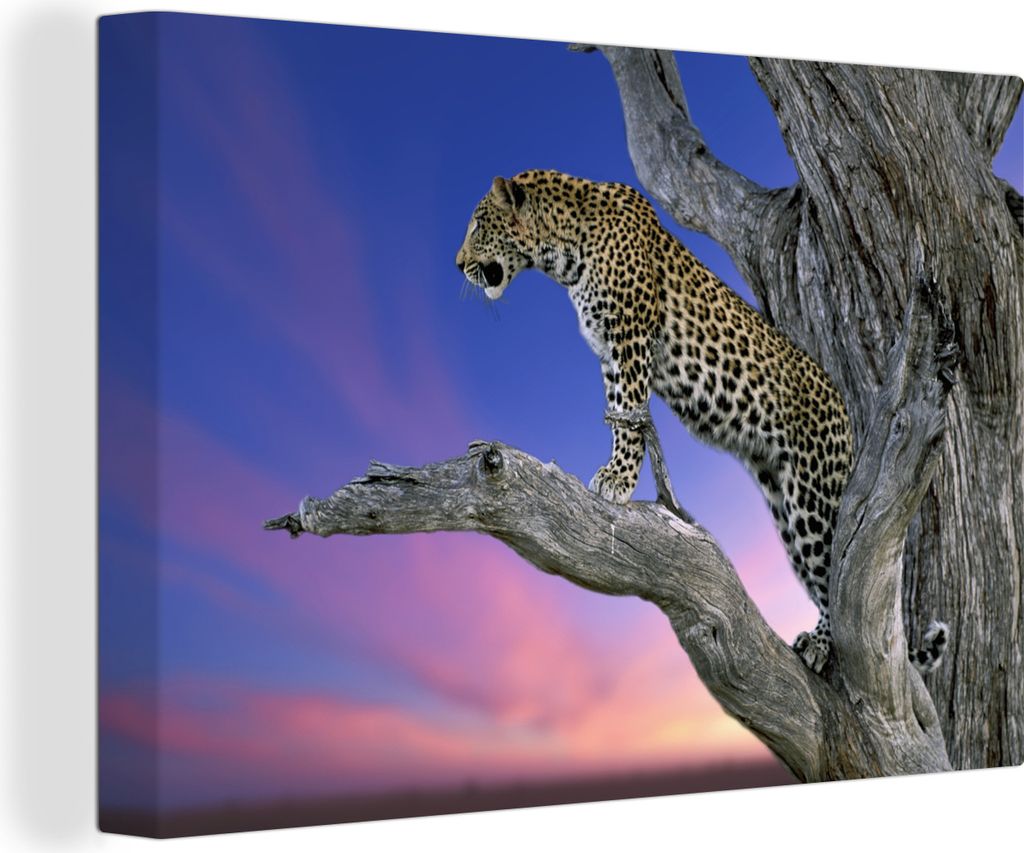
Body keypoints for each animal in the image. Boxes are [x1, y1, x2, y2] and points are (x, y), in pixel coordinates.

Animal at [456, 168, 948, 676]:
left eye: (477, 225)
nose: (458, 265)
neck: (563, 247)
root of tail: (844, 408)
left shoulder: (631, 339)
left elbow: (630, 417)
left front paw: (617, 480)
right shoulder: (611, 353)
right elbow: (618, 412)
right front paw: (616, 472)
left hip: (814, 494)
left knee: (834, 568)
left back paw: (820, 643)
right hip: (784, 504)